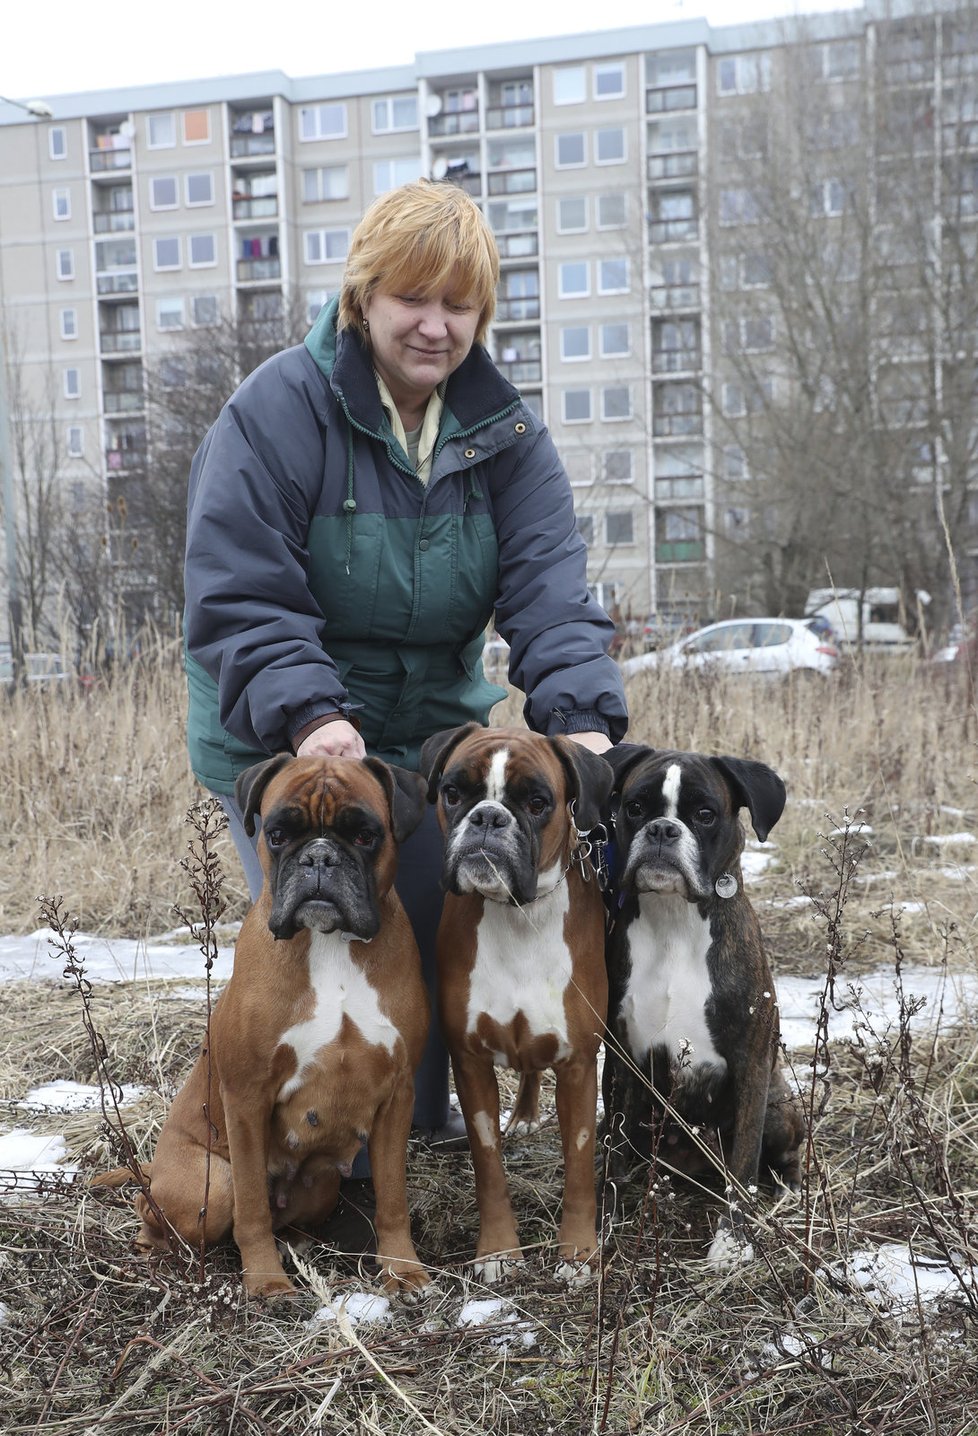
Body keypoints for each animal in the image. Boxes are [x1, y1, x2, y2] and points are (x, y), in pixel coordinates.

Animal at [95, 758, 430, 1298]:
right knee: (162, 1213)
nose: (319, 857)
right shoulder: (247, 1096)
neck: (329, 944)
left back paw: (298, 1244)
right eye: (277, 835)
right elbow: (251, 1205)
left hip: (322, 1182)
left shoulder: (398, 1095)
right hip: (210, 1182)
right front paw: (267, 1282)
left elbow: (393, 1198)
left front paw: (403, 1269)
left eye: (364, 835)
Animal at [419, 723, 608, 1286]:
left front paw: (578, 1252)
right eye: (454, 792)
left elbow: (579, 1167)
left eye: (537, 802)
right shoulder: (471, 1063)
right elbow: (489, 1168)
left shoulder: (578, 1065)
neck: (519, 917)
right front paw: (500, 1250)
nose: (487, 817)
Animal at [603, 746, 798, 1263]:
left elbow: (745, 1160)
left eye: (705, 815)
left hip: (780, 1106)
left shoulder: (751, 1062)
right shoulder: (619, 1059)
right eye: (635, 807)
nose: (662, 830)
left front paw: (733, 1241)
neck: (674, 918)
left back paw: (788, 1191)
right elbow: (607, 1155)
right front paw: (599, 1230)